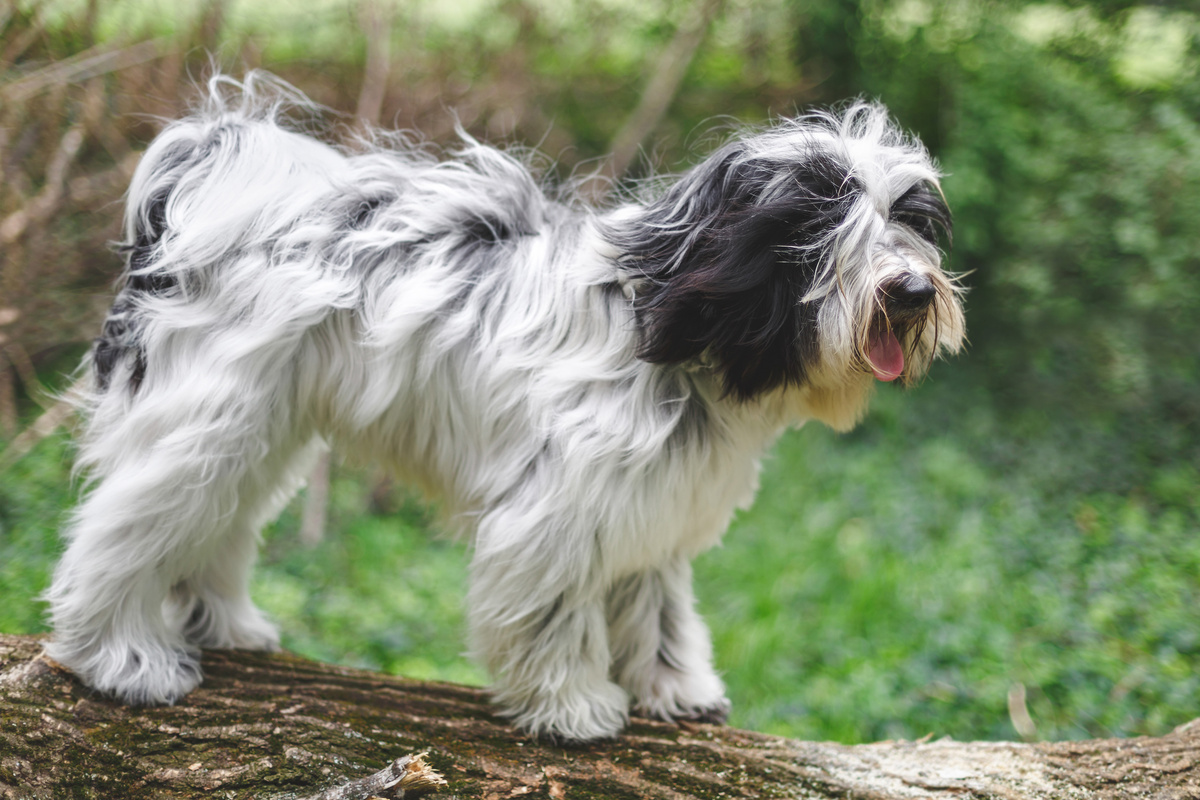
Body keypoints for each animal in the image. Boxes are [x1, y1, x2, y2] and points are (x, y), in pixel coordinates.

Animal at [46, 73, 964, 743]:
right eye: (818, 223)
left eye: (908, 220)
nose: (913, 290)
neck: (668, 324)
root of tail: (212, 183)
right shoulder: (556, 510)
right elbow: (552, 612)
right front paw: (573, 706)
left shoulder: (653, 503)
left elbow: (658, 605)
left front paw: (674, 684)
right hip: (206, 419)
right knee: (122, 531)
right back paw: (121, 657)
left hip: (256, 428)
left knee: (217, 523)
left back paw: (224, 622)